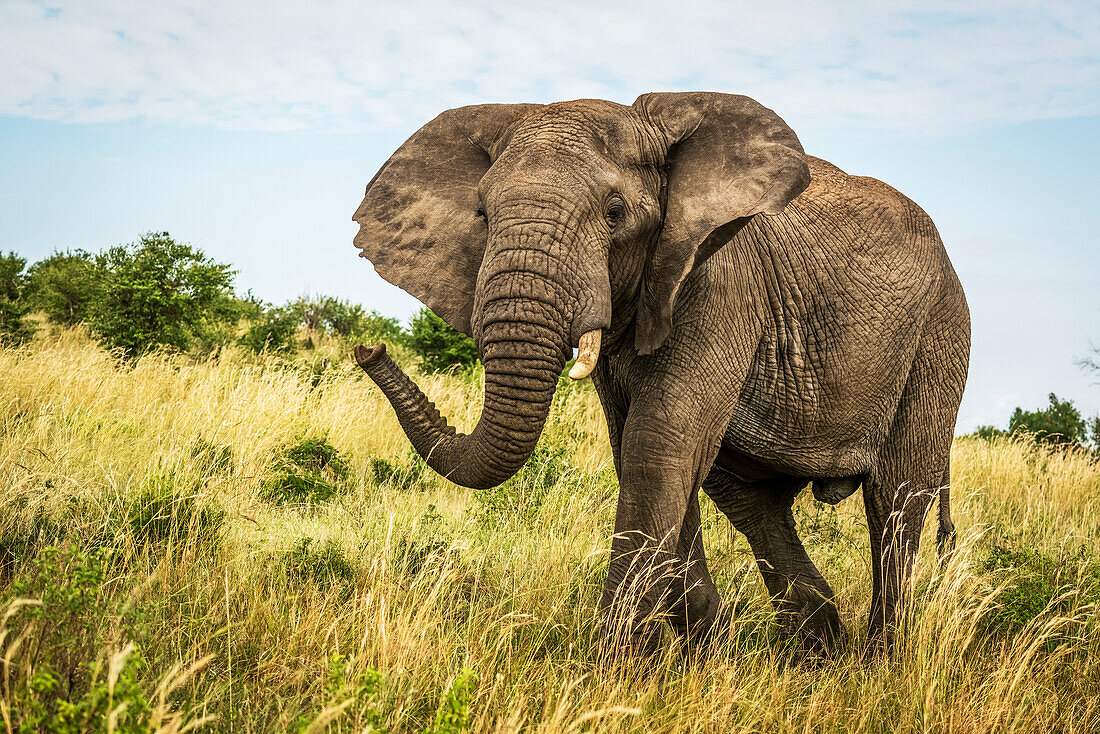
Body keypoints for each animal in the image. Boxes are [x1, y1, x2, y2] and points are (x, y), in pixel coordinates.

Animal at [352, 91, 972, 655]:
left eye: (614, 213)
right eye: (482, 215)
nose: (369, 350)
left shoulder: (722, 283)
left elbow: (659, 441)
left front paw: (616, 668)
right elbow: (641, 448)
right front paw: (698, 647)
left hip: (940, 334)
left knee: (898, 497)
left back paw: (878, 661)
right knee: (753, 502)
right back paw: (816, 650)